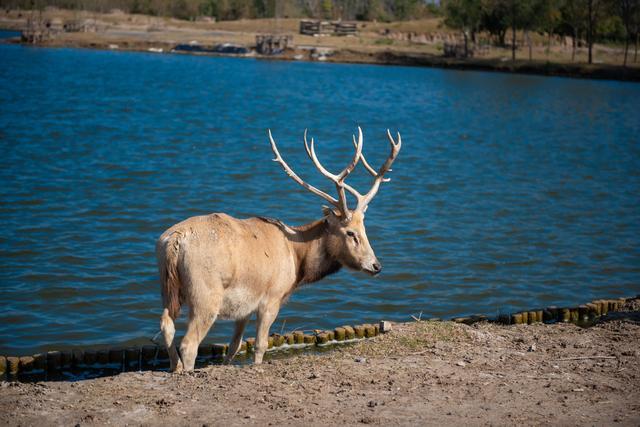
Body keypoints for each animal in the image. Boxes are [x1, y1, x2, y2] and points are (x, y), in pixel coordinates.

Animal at [156, 126, 400, 372]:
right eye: (351, 233)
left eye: (364, 229)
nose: (376, 265)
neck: (297, 261)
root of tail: (175, 241)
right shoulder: (271, 298)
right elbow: (260, 345)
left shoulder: (244, 306)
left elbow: (235, 346)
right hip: (205, 295)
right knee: (189, 343)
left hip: (168, 288)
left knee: (166, 325)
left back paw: (175, 368)